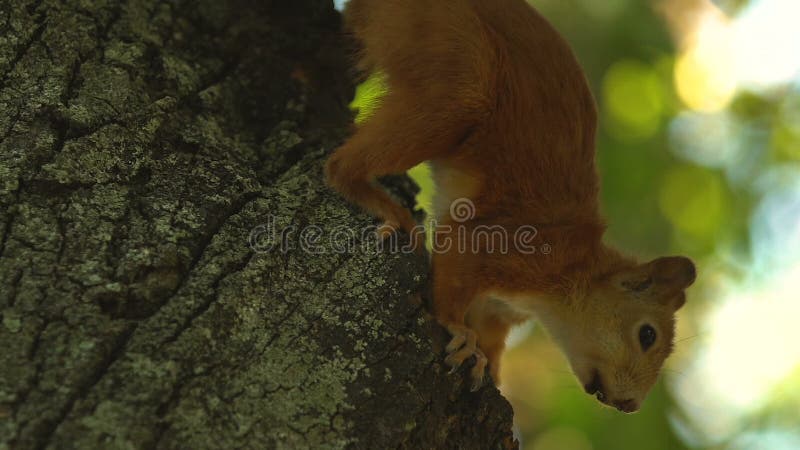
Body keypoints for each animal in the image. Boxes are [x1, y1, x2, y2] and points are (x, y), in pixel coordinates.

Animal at [322, 0, 696, 414]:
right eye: (647, 334)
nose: (630, 405)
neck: (570, 275)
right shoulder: (506, 243)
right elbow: (454, 276)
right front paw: (459, 330)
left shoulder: (499, 309)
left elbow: (491, 334)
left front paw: (492, 367)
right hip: (453, 63)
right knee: (339, 167)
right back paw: (382, 204)